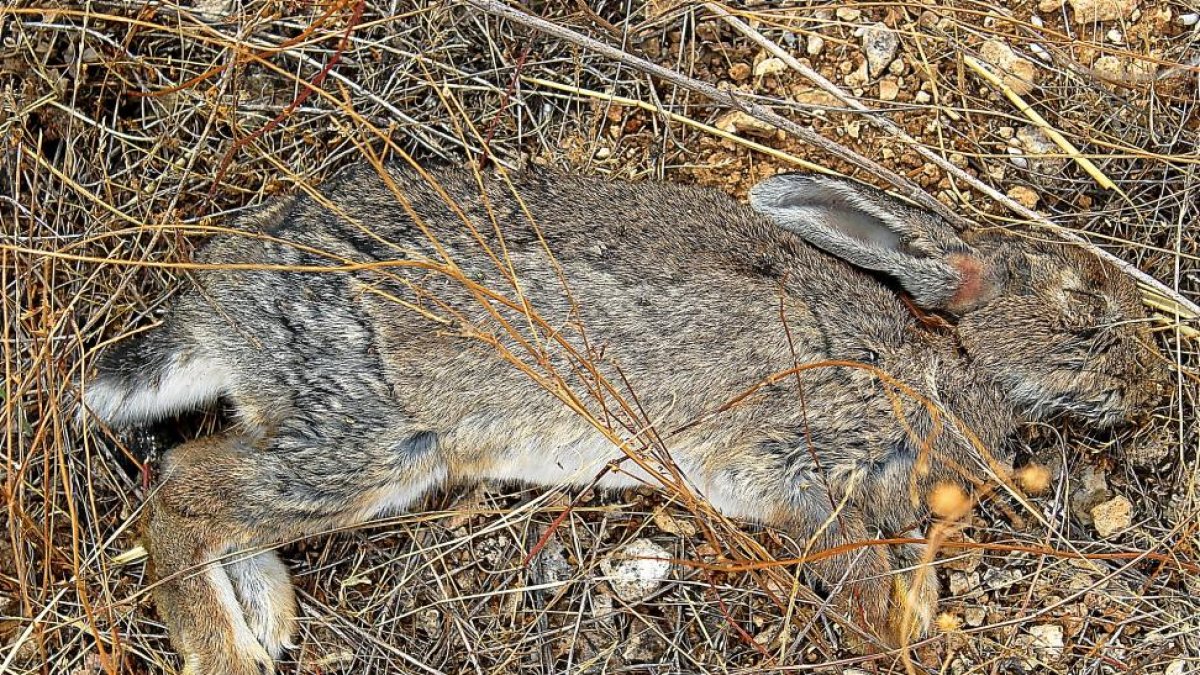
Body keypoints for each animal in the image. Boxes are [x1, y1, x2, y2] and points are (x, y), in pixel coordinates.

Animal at [84, 163, 1167, 674]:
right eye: (1084, 309)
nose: (1151, 384)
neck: (944, 363)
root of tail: (217, 311)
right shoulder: (813, 474)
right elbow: (867, 585)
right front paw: (900, 636)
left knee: (204, 485)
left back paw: (264, 618)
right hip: (372, 434)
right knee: (184, 493)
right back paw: (226, 650)